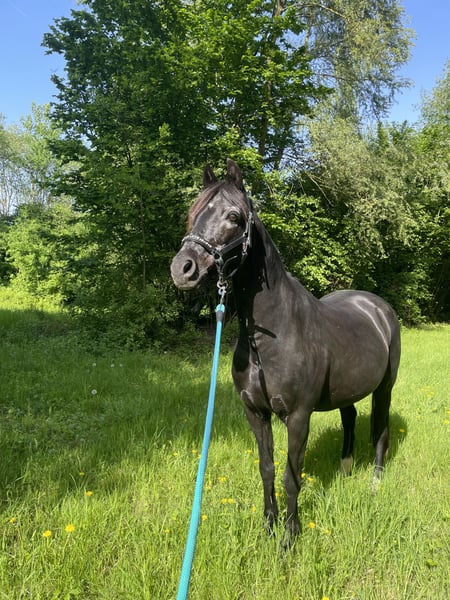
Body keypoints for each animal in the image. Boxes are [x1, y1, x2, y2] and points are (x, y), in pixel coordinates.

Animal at [170, 159, 401, 546]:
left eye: (234, 216)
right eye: (193, 213)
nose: (182, 268)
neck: (271, 336)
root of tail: (378, 306)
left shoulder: (298, 416)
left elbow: (292, 475)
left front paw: (290, 536)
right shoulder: (255, 413)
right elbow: (267, 468)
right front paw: (269, 524)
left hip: (385, 387)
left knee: (380, 430)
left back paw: (376, 482)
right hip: (348, 389)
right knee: (350, 417)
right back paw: (346, 467)